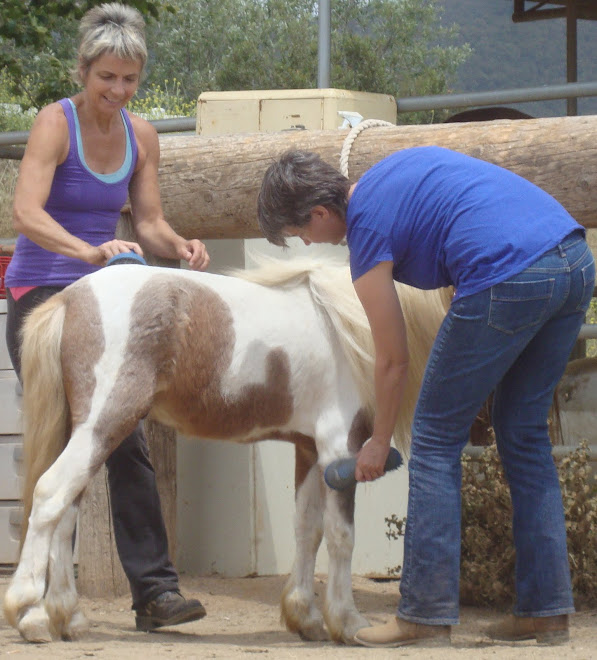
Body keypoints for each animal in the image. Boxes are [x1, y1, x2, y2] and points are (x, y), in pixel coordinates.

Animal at [2, 258, 450, 644]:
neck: (349, 321)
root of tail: (69, 298)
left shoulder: (309, 451)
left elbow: (308, 530)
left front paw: (305, 617)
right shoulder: (341, 447)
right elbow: (342, 536)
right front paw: (349, 622)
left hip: (84, 433)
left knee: (65, 514)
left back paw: (69, 618)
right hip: (104, 423)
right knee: (49, 496)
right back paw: (30, 613)